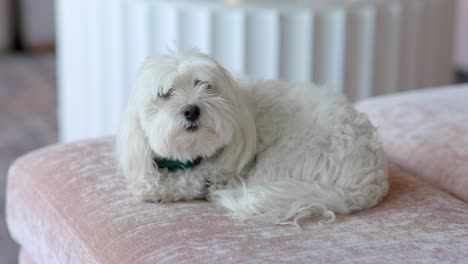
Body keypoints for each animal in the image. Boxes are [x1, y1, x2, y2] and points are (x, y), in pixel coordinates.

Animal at [116, 50, 388, 225]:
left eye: (205, 85)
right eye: (165, 93)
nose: (192, 110)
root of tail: (370, 177)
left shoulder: (220, 167)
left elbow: (184, 180)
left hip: (283, 158)